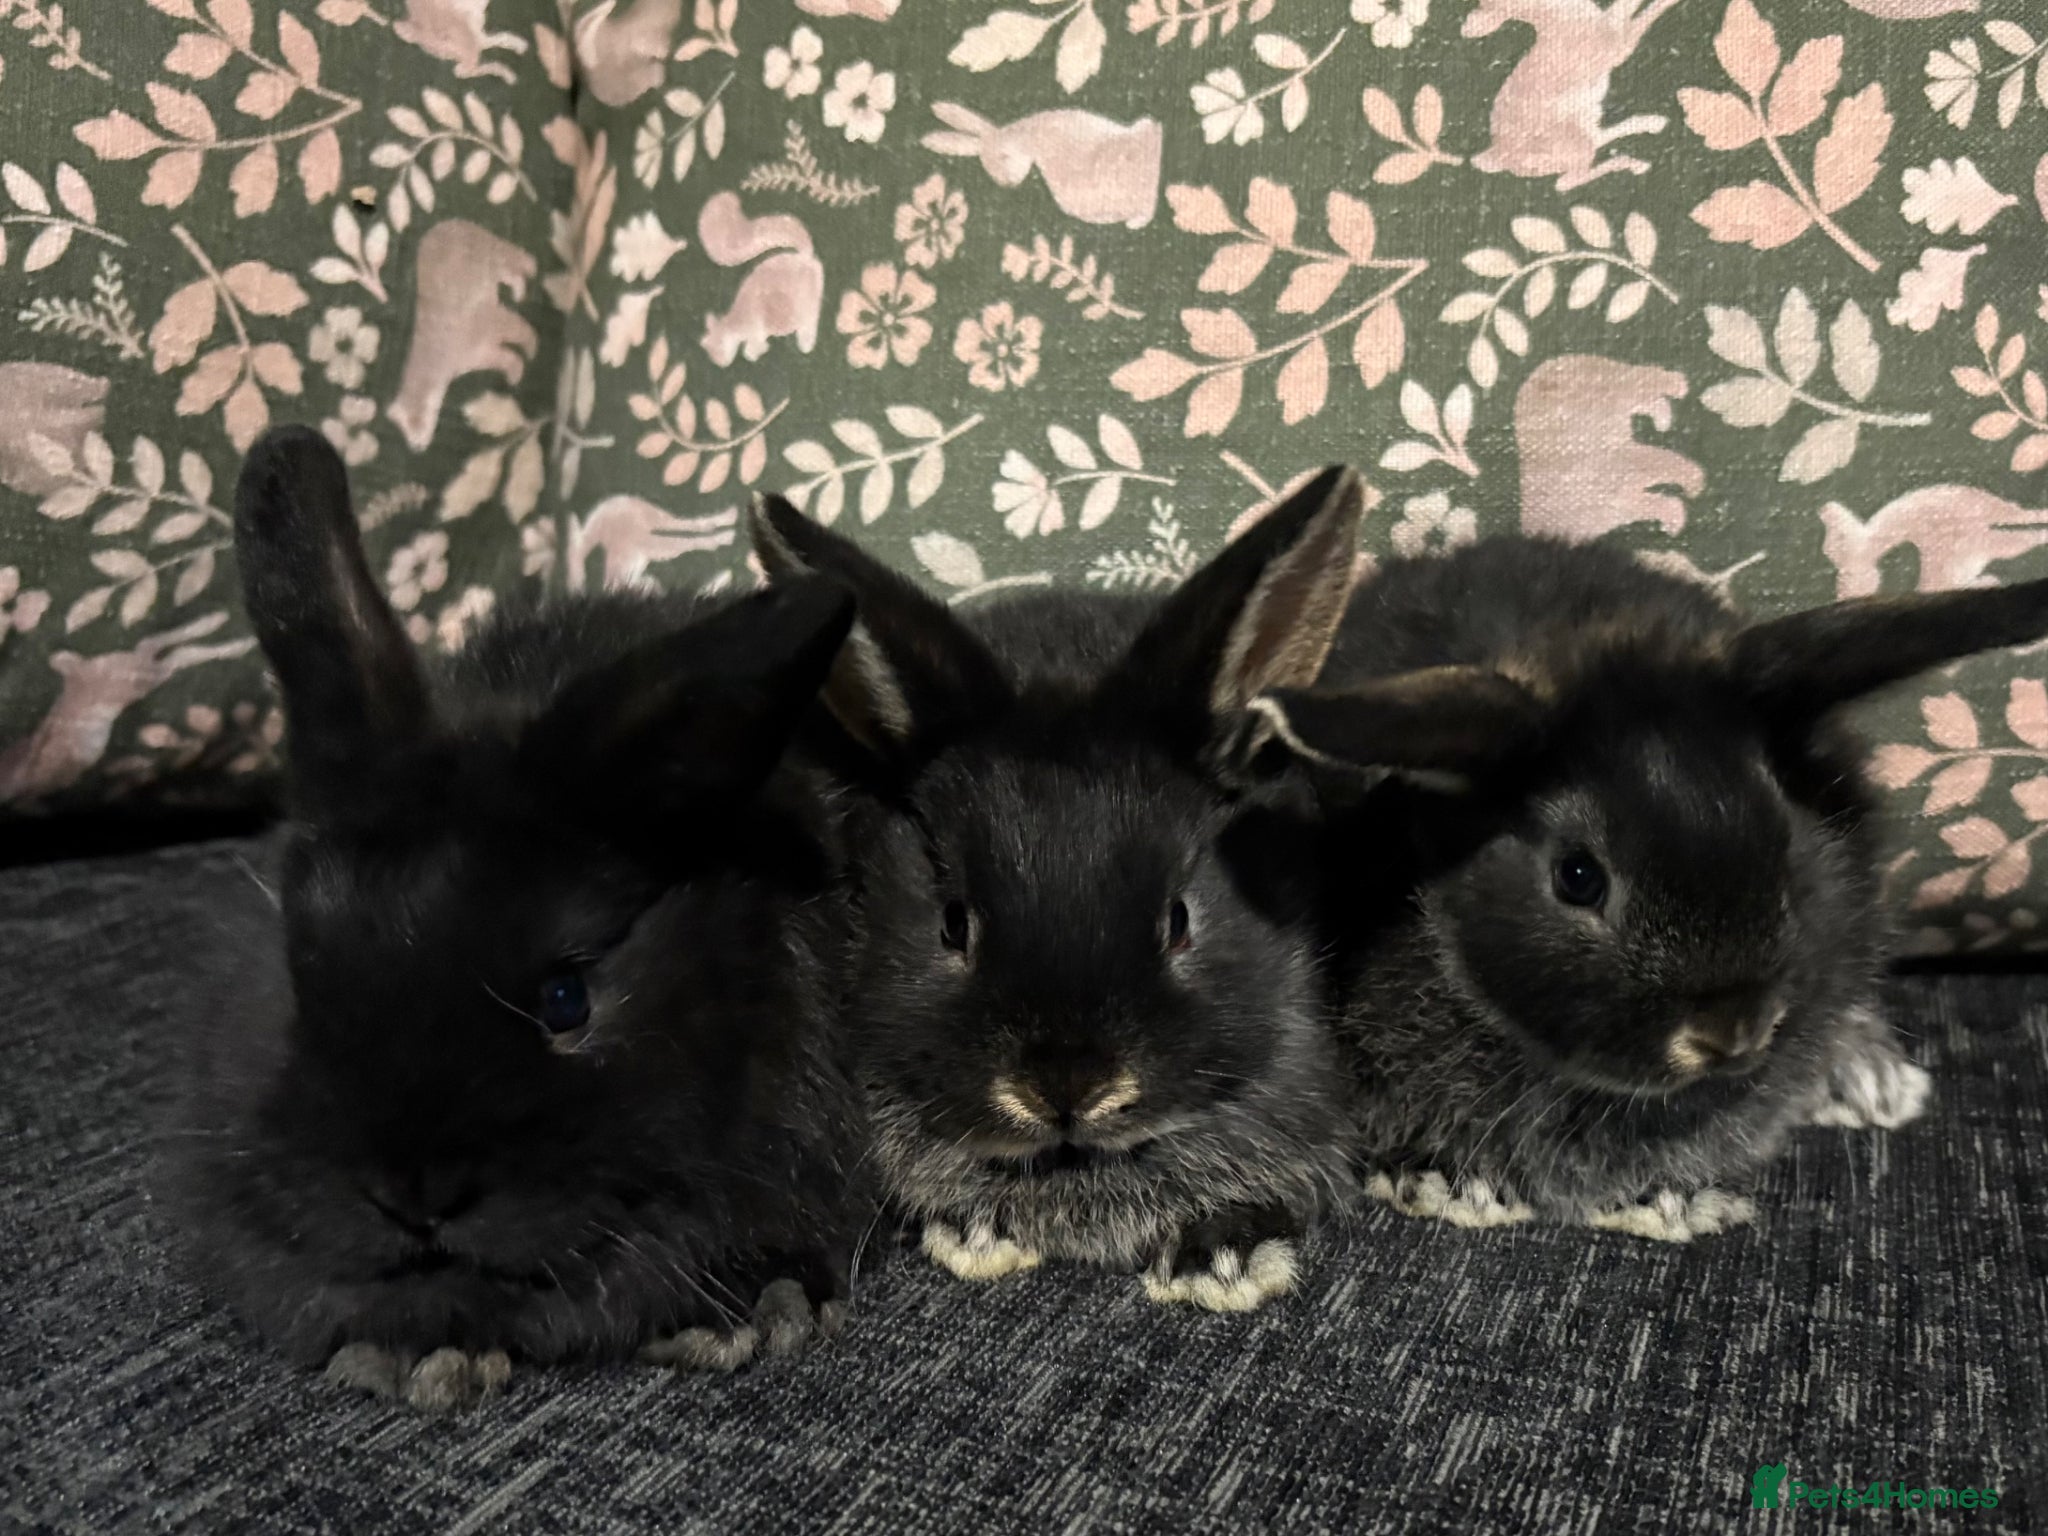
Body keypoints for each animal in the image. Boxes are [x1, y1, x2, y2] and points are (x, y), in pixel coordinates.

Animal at [1249, 535, 2048, 1241]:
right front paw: (1448, 1183)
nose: (1732, 1032)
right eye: (1577, 877)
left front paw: (1674, 1199)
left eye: (1786, 839)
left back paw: (1875, 1077)